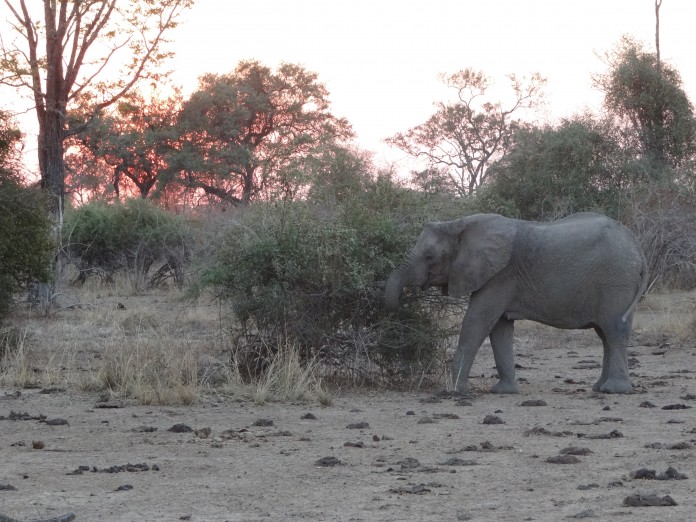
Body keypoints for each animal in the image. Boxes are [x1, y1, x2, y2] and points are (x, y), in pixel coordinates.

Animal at [384, 210, 648, 390]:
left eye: (429, 257)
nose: (401, 302)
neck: (458, 223)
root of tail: (638, 247)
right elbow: (499, 328)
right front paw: (503, 391)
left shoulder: (499, 276)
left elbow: (477, 323)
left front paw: (456, 391)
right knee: (605, 335)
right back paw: (598, 388)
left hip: (616, 281)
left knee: (613, 330)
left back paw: (614, 390)